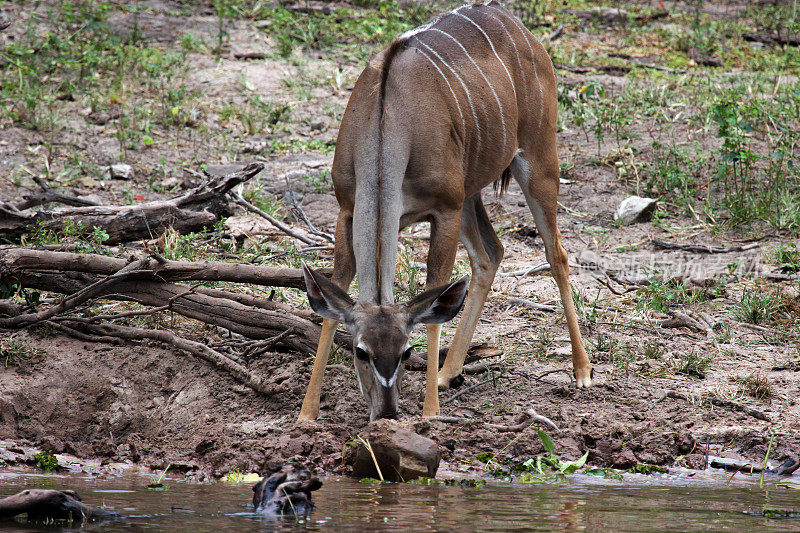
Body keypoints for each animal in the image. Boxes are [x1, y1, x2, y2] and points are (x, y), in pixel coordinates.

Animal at [300, 2, 592, 422]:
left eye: (406, 352)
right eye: (360, 352)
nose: (386, 412)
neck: (388, 121)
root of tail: (517, 25)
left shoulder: (444, 209)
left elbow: (435, 289)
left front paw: (430, 412)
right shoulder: (346, 210)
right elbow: (334, 293)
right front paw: (306, 414)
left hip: (537, 159)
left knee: (556, 254)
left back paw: (582, 371)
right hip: (470, 192)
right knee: (491, 253)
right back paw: (447, 372)